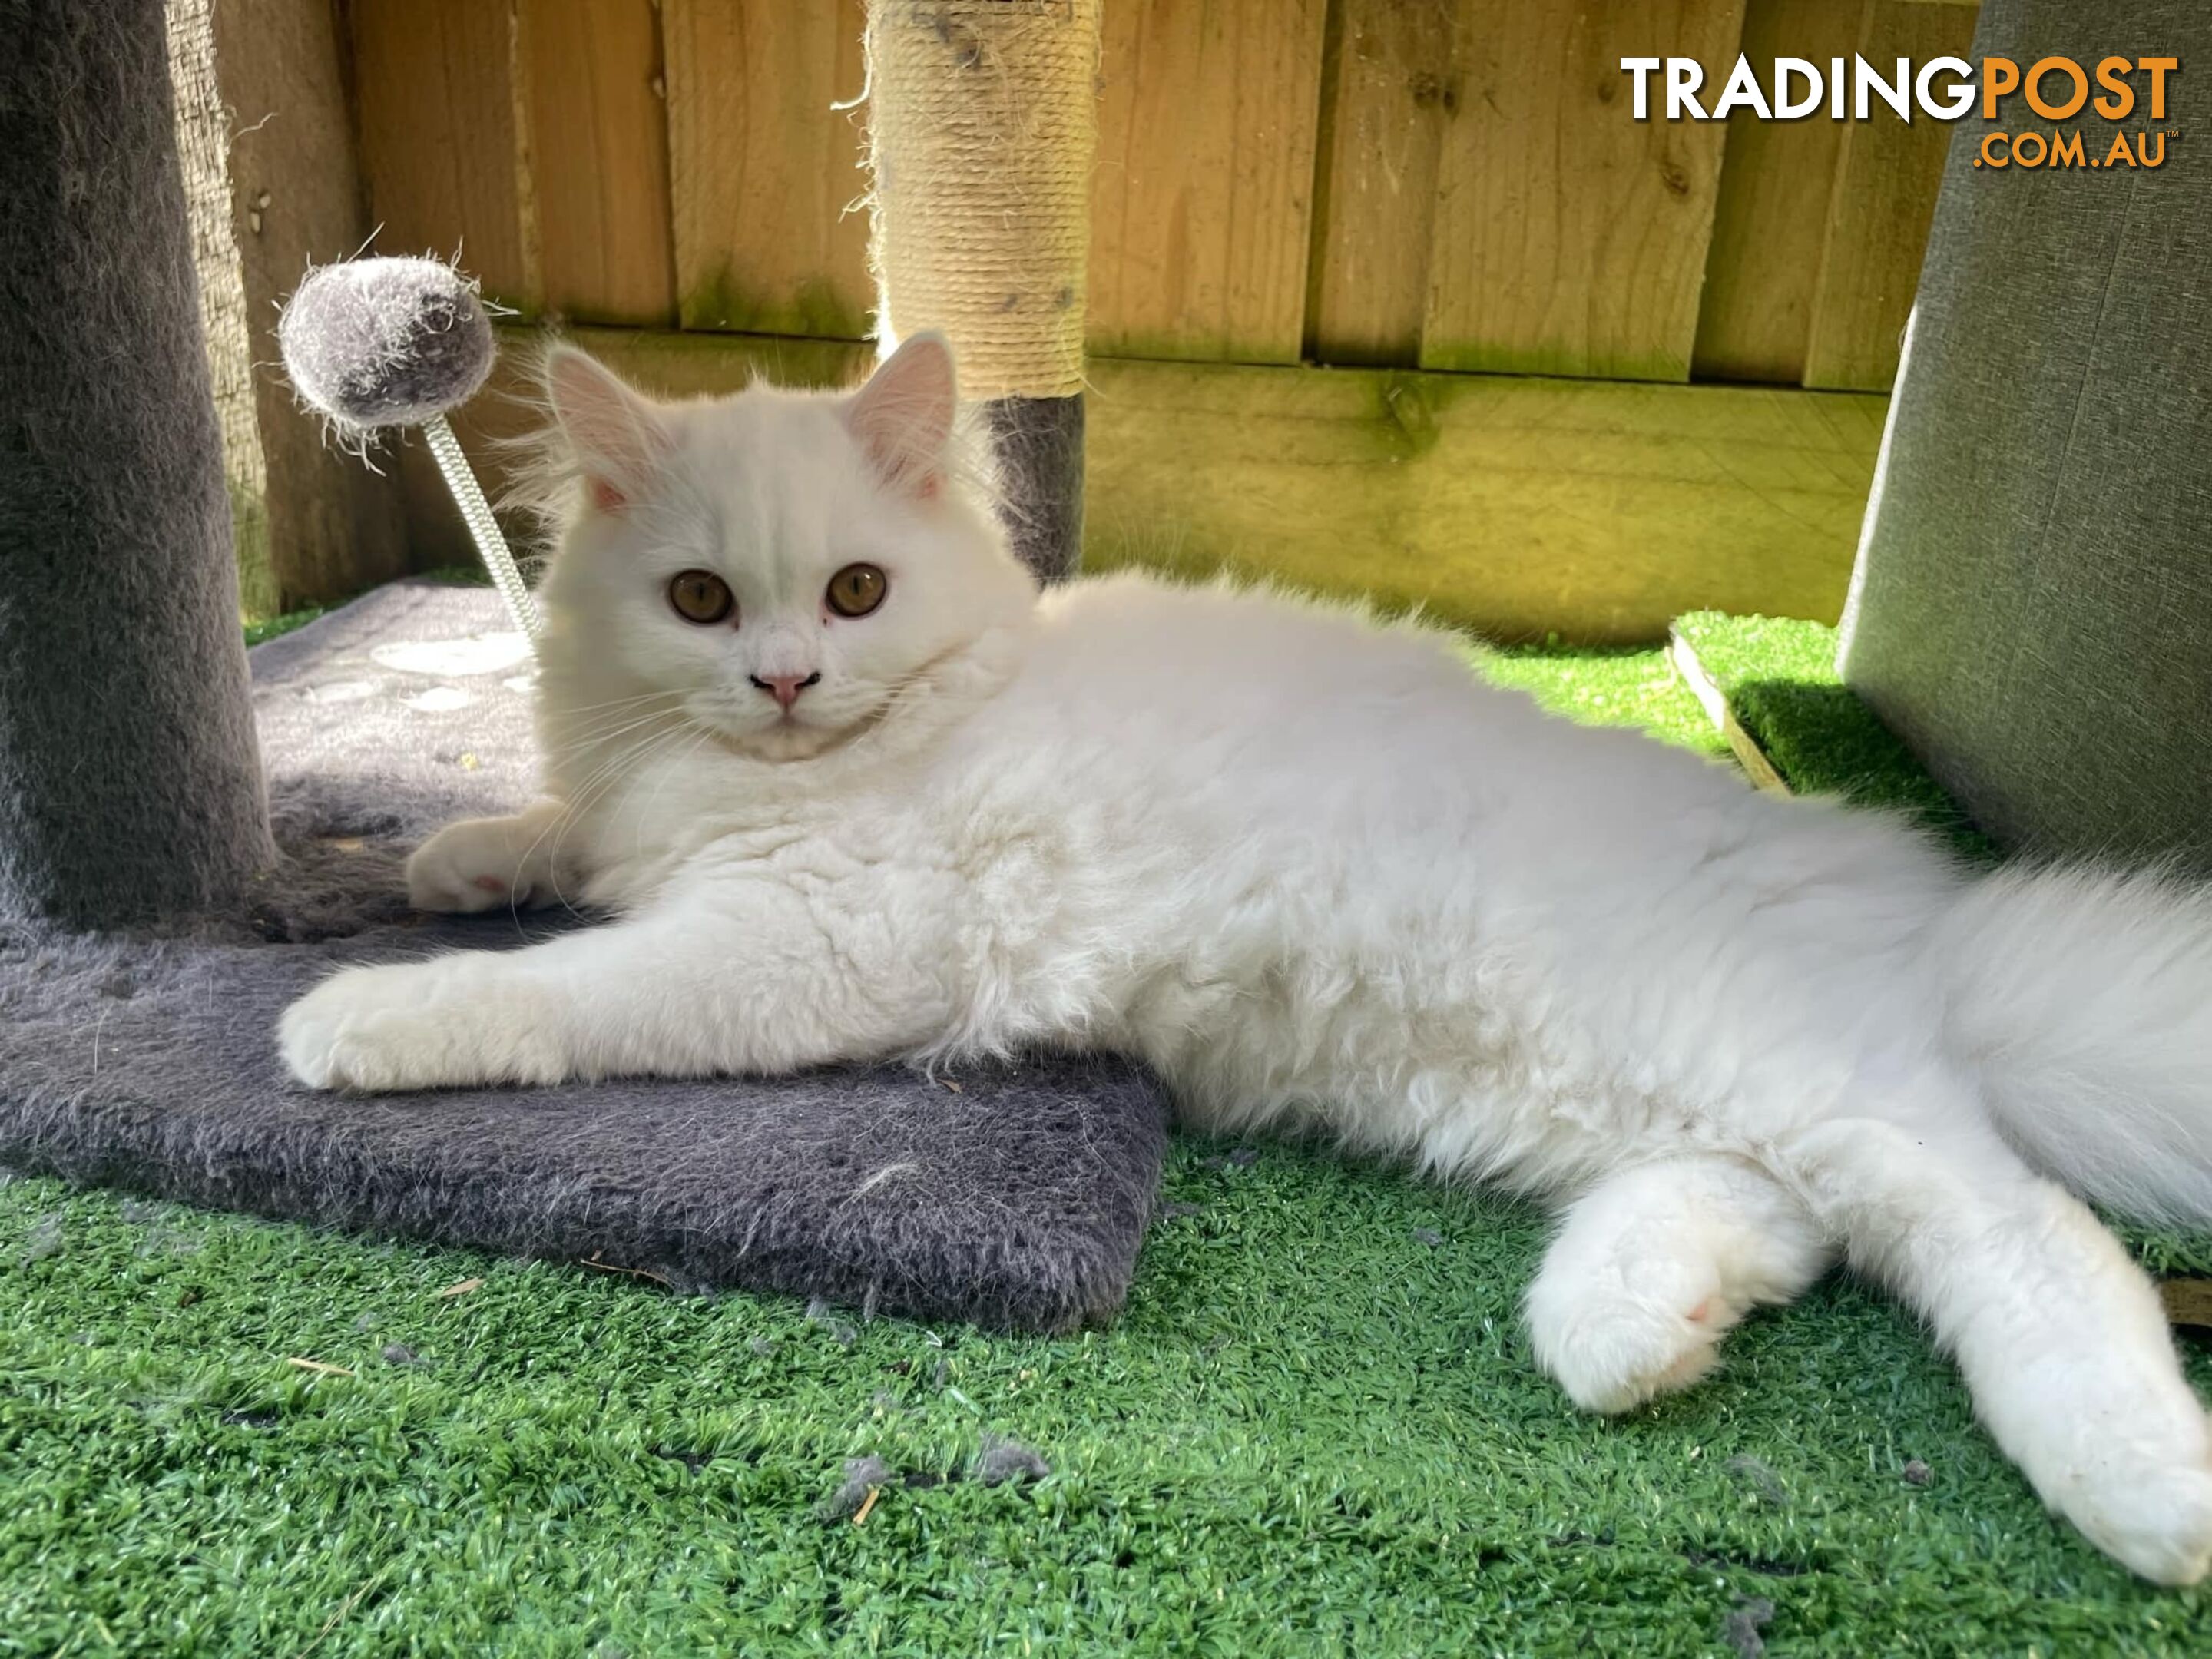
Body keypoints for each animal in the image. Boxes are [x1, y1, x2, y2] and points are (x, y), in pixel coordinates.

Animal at [276, 333, 2212, 1584]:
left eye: (850, 594)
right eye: (698, 602)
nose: (784, 680)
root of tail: (1919, 905)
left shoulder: (807, 940)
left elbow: (561, 987)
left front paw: (353, 1016)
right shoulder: (662, 831)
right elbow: (559, 845)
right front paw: (452, 855)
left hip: (1772, 1067)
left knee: (2016, 1226)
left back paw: (2149, 1499)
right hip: (1617, 1093)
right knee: (1781, 1220)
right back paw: (1626, 1335)